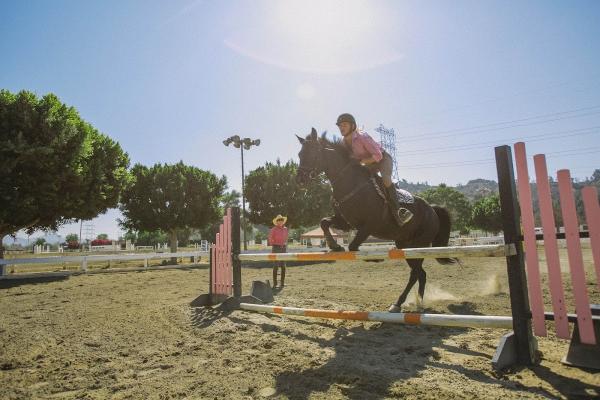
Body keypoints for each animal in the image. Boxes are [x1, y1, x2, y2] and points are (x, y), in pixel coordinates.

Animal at [296, 129, 454, 312]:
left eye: (312, 153)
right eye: (300, 154)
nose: (300, 180)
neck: (349, 183)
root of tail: (432, 210)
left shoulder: (368, 226)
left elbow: (353, 246)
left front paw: (375, 258)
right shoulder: (345, 223)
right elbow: (324, 223)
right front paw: (334, 246)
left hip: (419, 245)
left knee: (416, 273)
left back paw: (399, 303)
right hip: (405, 245)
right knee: (420, 273)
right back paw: (418, 303)